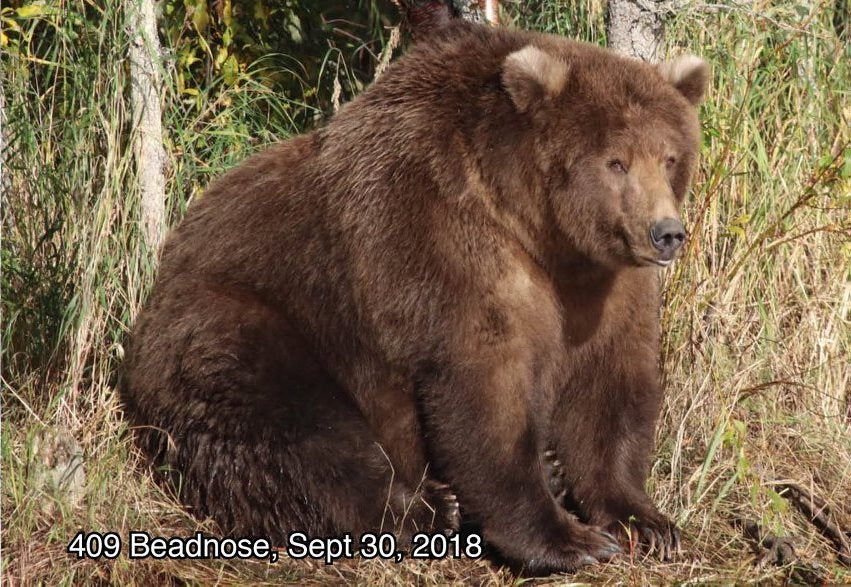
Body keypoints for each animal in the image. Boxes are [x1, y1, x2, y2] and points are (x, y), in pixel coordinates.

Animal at [120, 20, 704, 576]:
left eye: (670, 158)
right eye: (616, 162)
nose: (666, 233)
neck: (539, 230)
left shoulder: (603, 285)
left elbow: (610, 387)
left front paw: (646, 522)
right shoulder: (440, 239)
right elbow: (484, 388)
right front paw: (568, 540)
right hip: (242, 322)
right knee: (298, 429)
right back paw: (426, 508)